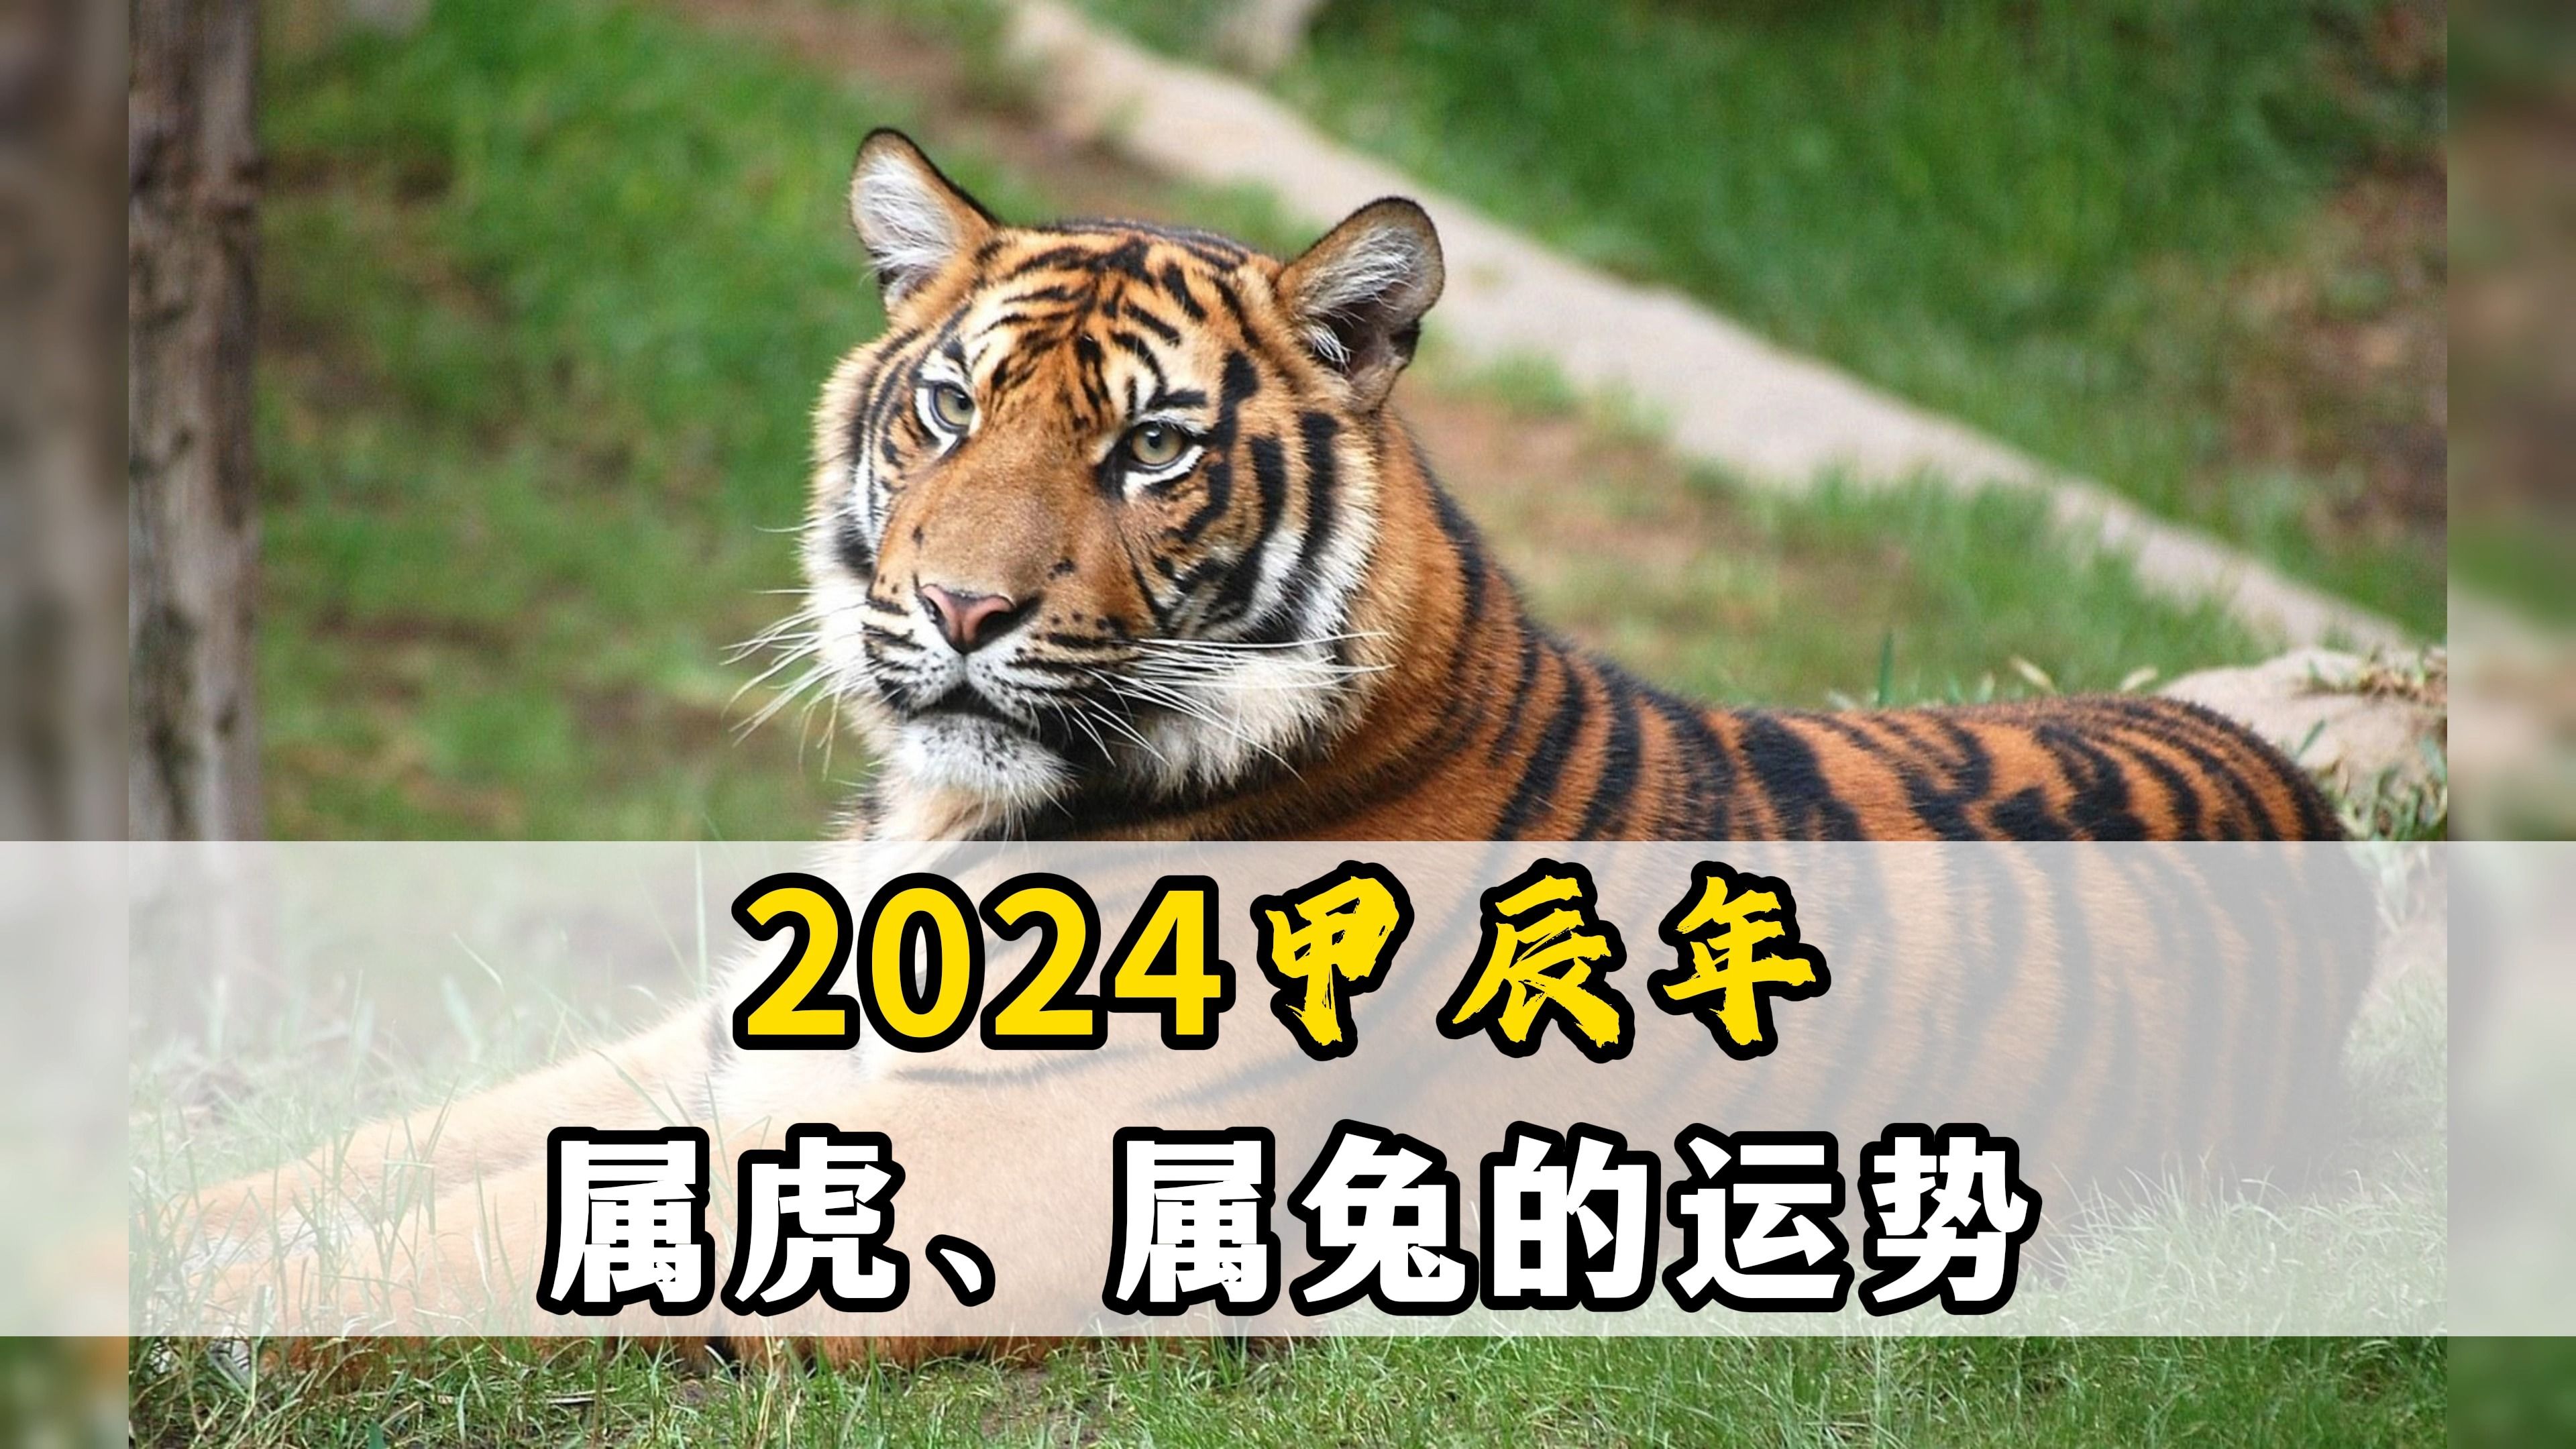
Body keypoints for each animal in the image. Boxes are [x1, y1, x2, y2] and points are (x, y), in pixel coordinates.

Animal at [176, 131, 2365, 1372]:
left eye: (1150, 448)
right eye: (946, 409)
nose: (957, 610)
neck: (958, 818)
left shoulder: (975, 1183)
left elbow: (397, 1261)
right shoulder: (725, 1059)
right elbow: (358, 1159)